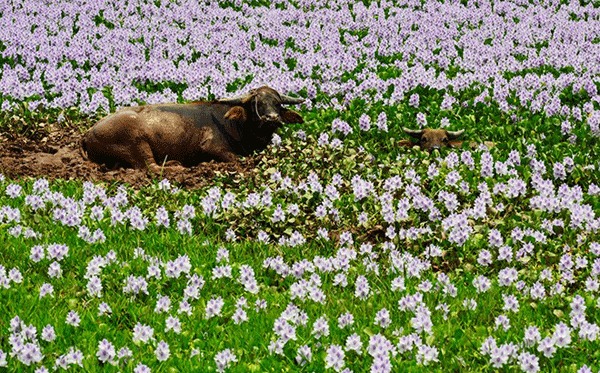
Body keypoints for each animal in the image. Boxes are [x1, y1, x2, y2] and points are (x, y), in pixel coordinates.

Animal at [80, 85, 304, 171]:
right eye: (256, 104)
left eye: (277, 104)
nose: (272, 118)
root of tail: (88, 133)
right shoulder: (211, 147)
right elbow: (235, 158)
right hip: (136, 142)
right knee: (150, 167)